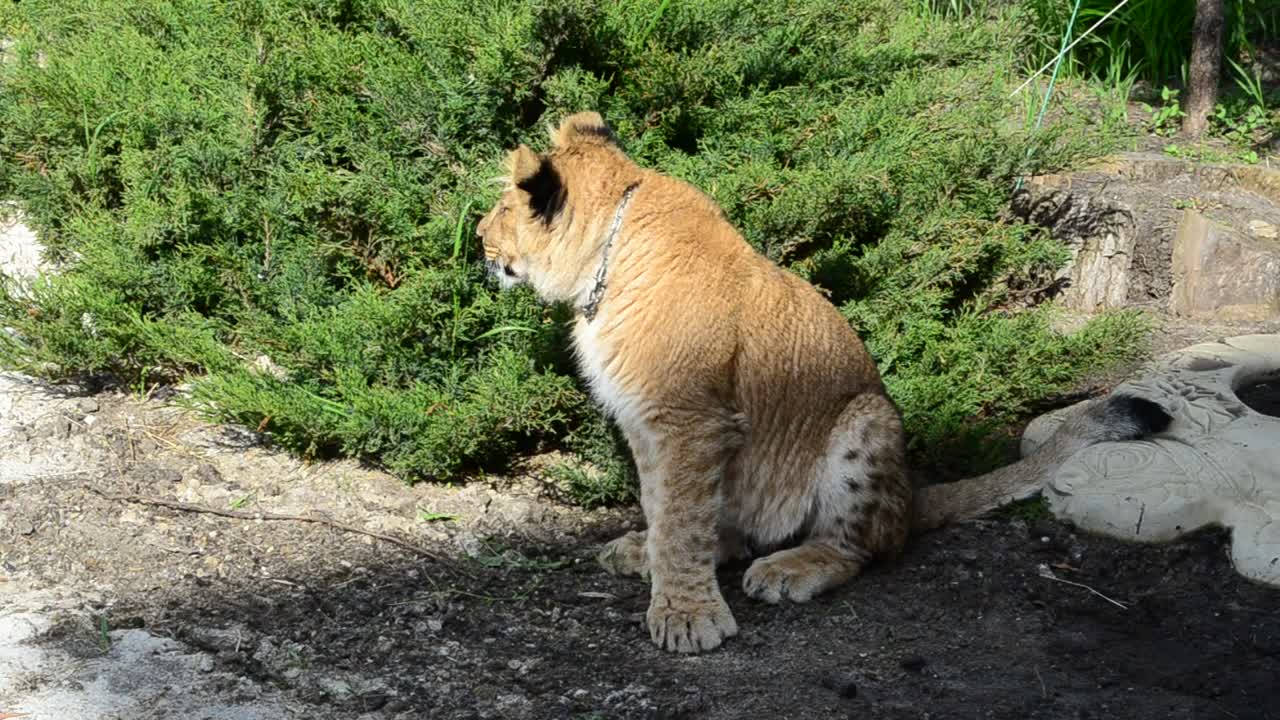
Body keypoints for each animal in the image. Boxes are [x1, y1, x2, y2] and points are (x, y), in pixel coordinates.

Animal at [476, 112, 1169, 654]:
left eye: (504, 207)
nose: (478, 237)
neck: (603, 266)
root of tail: (913, 495)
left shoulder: (690, 420)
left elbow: (684, 519)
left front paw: (687, 616)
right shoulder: (649, 422)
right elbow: (668, 508)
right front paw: (658, 561)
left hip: (865, 420)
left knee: (862, 546)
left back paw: (791, 568)